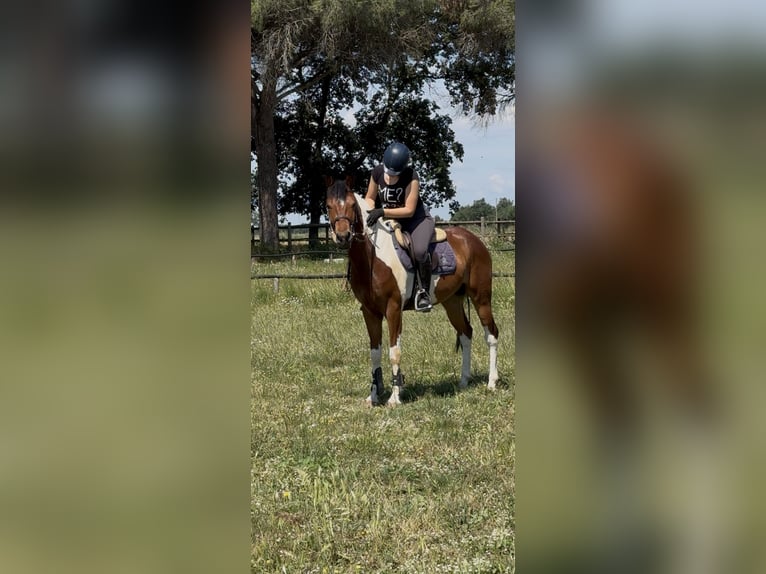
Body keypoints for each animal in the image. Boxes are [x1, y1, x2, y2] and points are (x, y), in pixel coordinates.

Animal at [325, 175, 499, 406]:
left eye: (352, 205)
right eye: (328, 206)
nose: (343, 236)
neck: (372, 257)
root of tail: (474, 240)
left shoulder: (393, 309)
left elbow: (394, 352)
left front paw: (394, 398)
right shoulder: (370, 312)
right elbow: (375, 353)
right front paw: (374, 396)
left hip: (481, 298)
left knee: (491, 334)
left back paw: (492, 382)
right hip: (452, 301)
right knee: (465, 334)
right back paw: (463, 381)